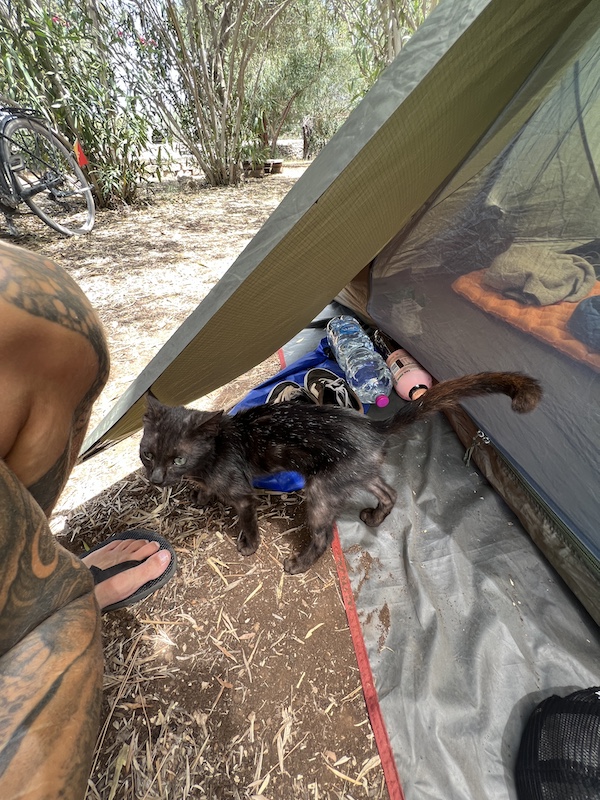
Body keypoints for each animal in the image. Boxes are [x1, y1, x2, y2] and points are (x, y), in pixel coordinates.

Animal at [138, 372, 540, 572]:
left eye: (177, 459)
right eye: (147, 455)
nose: (156, 478)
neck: (216, 449)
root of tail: (372, 426)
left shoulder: (242, 493)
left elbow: (246, 516)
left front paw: (248, 544)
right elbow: (206, 489)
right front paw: (200, 495)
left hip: (319, 491)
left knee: (322, 535)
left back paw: (298, 564)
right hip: (356, 474)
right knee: (389, 492)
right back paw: (374, 517)